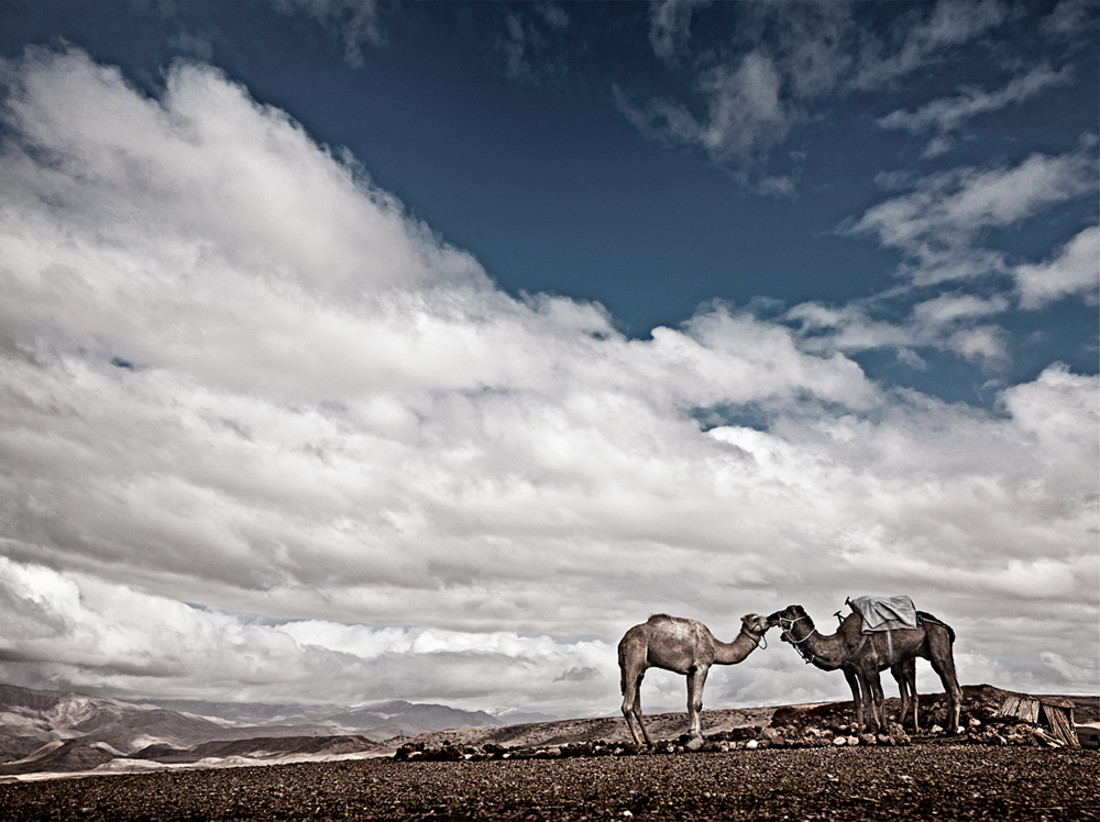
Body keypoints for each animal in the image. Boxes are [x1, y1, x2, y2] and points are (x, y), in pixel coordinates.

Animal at [616, 611, 770, 752]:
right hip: (634, 659)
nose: (770, 619)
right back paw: (639, 744)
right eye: (755, 618)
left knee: (637, 706)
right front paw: (698, 738)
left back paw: (650, 742)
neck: (715, 646)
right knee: (626, 705)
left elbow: (690, 703)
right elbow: (697, 704)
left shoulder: (690, 672)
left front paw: (691, 736)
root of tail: (623, 641)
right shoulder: (702, 666)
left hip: (640, 670)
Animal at [770, 603, 959, 735]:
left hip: (937, 648)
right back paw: (941, 727)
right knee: (942, 688)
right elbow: (863, 698)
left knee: (950, 687)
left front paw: (882, 728)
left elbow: (878, 696)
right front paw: (866, 729)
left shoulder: (869, 664)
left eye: (784, 613)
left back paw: (951, 728)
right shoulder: (857, 669)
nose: (771, 617)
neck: (842, 643)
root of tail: (945, 626)